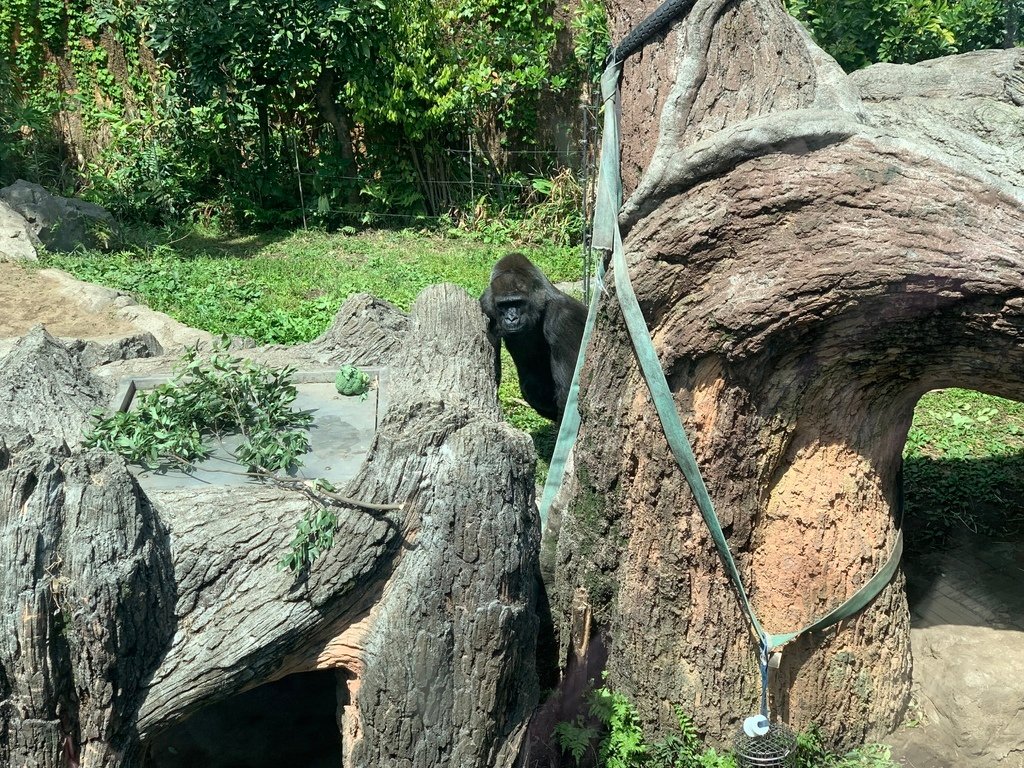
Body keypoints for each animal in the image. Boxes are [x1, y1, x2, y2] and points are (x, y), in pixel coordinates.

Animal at [477, 250, 585, 421]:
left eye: (518, 302)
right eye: (503, 305)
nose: (511, 318)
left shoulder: (563, 317)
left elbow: (568, 389)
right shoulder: (485, 306)